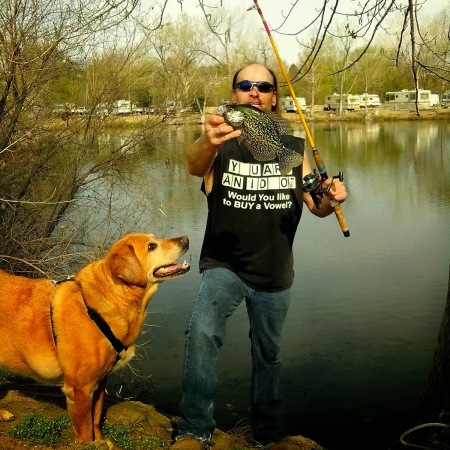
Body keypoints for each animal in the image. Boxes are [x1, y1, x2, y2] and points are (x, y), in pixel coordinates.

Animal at [0, 232, 188, 442]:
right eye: (151, 246)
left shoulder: (99, 384)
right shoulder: (79, 390)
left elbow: (96, 419)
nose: (186, 240)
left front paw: (101, 442)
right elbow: (85, 431)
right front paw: (88, 443)